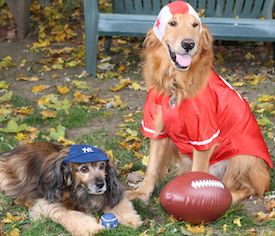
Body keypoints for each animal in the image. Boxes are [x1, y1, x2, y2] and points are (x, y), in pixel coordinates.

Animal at [0, 142, 142, 236]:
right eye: (84, 169)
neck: (80, 191)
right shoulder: (46, 203)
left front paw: (131, 219)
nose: (101, 184)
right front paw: (90, 228)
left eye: (102, 166)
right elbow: (71, 214)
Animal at [128, 0, 272, 203]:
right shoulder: (157, 126)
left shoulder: (203, 133)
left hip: (242, 158)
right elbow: (152, 167)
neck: (176, 85)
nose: (189, 44)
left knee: (248, 187)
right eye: (172, 23)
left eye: (195, 25)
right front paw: (142, 192)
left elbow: (197, 172)